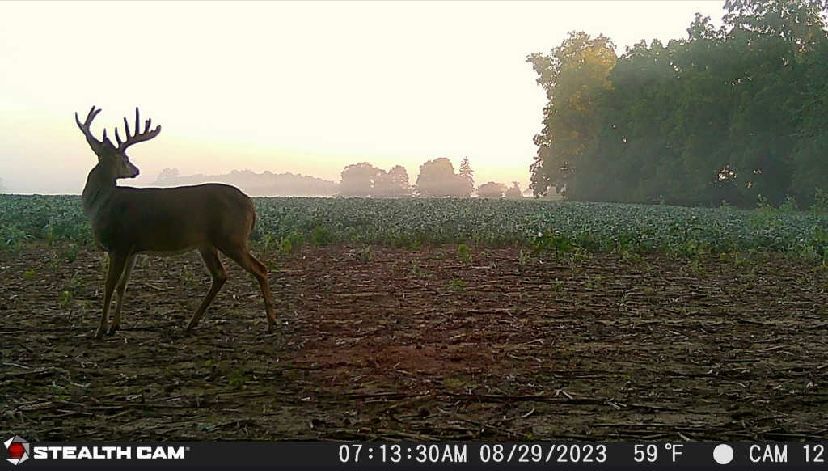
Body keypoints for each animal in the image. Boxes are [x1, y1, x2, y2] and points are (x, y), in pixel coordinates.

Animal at [75, 106, 277, 339]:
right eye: (126, 158)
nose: (135, 170)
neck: (102, 202)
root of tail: (251, 205)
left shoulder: (119, 243)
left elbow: (109, 285)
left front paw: (100, 329)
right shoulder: (132, 248)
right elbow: (122, 285)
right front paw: (115, 326)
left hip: (231, 237)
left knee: (260, 268)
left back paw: (272, 323)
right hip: (207, 243)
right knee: (220, 275)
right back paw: (191, 323)